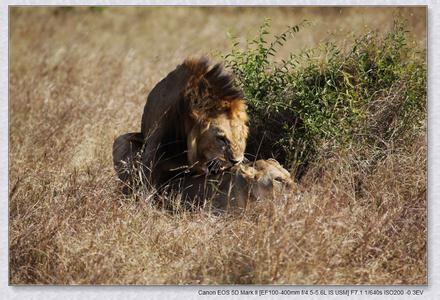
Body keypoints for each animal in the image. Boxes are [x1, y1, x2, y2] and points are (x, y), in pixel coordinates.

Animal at [113, 57, 248, 191]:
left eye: (239, 137)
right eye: (220, 138)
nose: (236, 161)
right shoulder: (153, 149)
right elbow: (148, 178)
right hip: (120, 141)